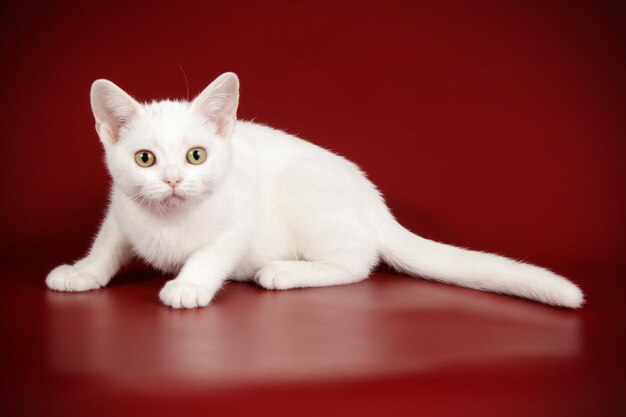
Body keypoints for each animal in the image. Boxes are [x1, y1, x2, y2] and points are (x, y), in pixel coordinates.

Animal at [46, 71, 584, 308]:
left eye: (196, 155)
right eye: (145, 159)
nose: (174, 180)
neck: (170, 221)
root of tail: (373, 200)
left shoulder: (241, 215)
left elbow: (212, 251)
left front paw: (189, 284)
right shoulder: (122, 210)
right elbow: (107, 243)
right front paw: (83, 272)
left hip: (307, 193)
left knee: (358, 264)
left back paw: (282, 272)